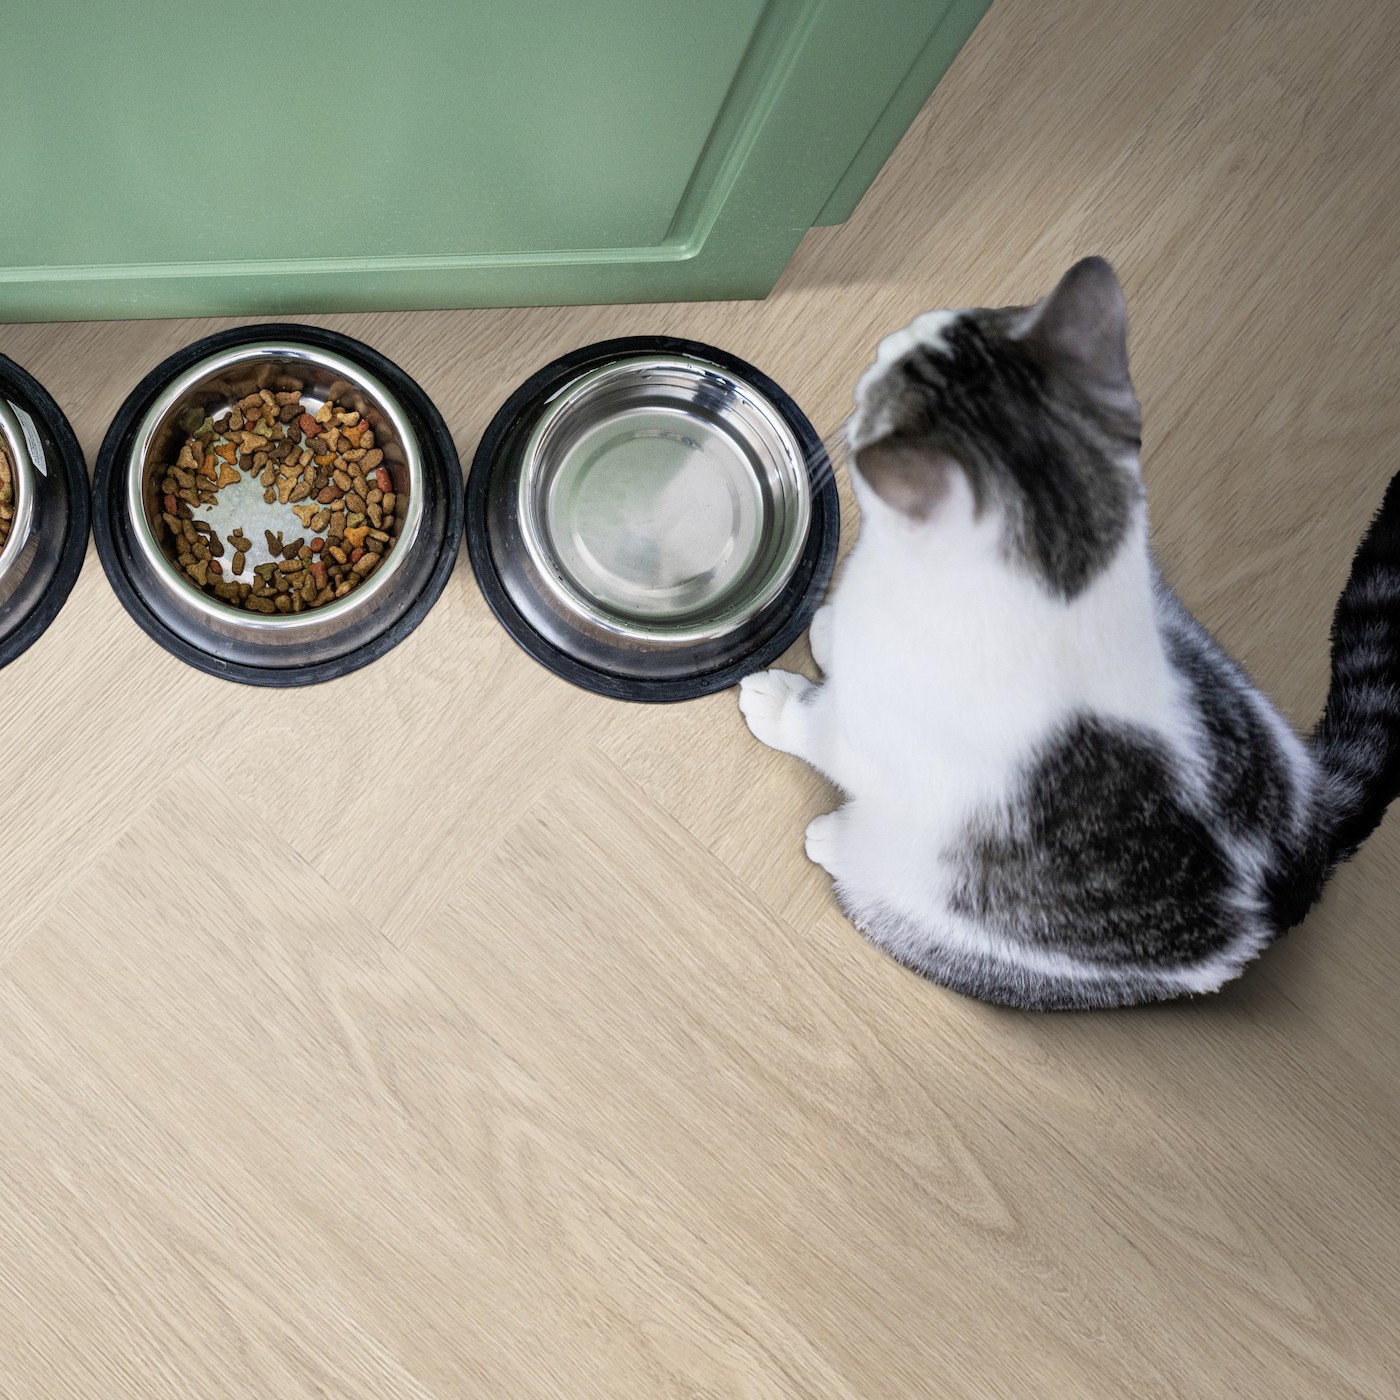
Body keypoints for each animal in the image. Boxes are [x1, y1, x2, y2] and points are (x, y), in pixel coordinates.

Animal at [739, 257, 1400, 1010]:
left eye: (885, 386)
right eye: (931, 327)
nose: (882, 343)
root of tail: (1307, 862)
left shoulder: (872, 736)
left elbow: (816, 726)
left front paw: (779, 700)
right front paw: (827, 633)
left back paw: (838, 839)